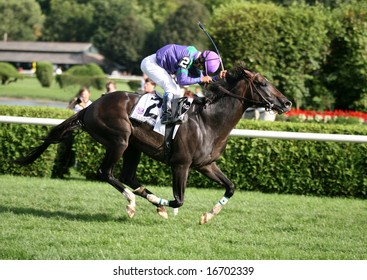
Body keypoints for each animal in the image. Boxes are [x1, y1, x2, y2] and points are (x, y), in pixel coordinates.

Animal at [12, 62, 292, 224]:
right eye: (262, 83)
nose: (287, 102)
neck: (208, 121)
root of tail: (90, 107)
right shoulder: (181, 164)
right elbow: (179, 200)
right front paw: (167, 208)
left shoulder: (206, 165)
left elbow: (231, 187)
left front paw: (207, 215)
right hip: (119, 140)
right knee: (107, 172)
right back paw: (132, 203)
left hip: (134, 147)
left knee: (128, 175)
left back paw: (149, 202)